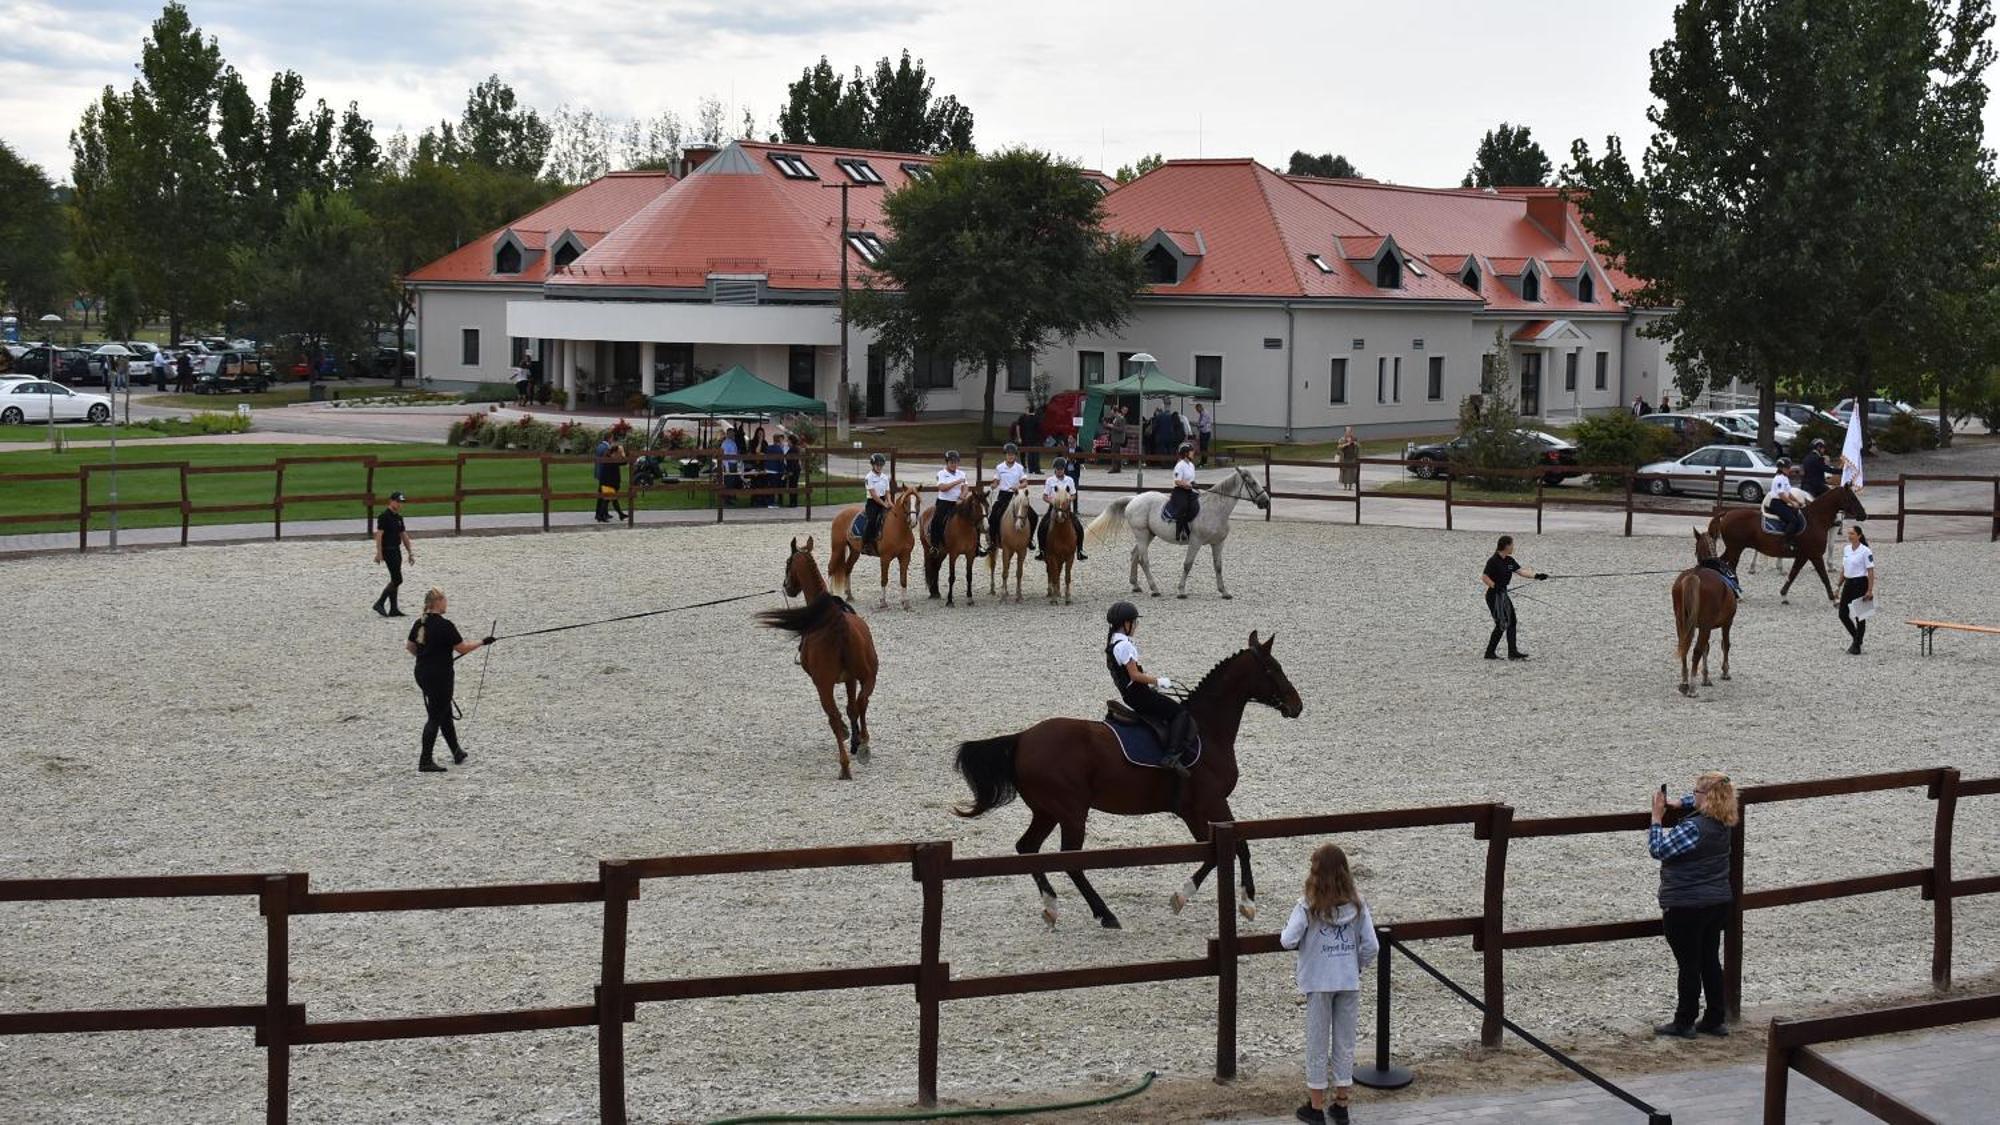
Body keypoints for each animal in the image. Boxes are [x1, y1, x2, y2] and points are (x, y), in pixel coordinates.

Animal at [756, 536, 876, 780]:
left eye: (788, 563)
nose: (787, 587)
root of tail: (839, 624)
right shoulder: (850, 679)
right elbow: (852, 707)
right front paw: (856, 740)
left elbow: (842, 713)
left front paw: (848, 734)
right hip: (867, 676)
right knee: (862, 702)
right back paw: (864, 746)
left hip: (823, 685)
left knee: (833, 716)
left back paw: (844, 765)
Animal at [956, 632, 1304, 928]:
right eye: (1273, 669)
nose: (1297, 706)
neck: (1207, 731)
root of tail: (1023, 739)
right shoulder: (1211, 802)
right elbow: (1238, 846)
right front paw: (1245, 903)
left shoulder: (1194, 810)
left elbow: (1213, 852)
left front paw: (1183, 897)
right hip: (1070, 812)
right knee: (1069, 860)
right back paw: (1105, 914)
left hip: (1047, 811)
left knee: (1027, 848)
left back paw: (1052, 906)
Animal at [1088, 462, 1272, 600]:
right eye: (1252, 483)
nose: (1266, 501)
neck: (1215, 509)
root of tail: (1134, 498)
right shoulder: (1196, 541)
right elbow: (1187, 564)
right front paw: (1181, 591)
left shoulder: (1218, 543)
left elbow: (1218, 566)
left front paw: (1224, 592)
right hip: (1141, 534)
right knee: (1144, 560)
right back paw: (1155, 589)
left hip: (1148, 535)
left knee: (1135, 555)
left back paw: (1136, 585)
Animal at [1672, 524, 1736, 692]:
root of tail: (1694, 575)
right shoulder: (1727, 622)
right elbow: (1725, 644)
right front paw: (1725, 672)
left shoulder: (1701, 626)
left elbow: (1707, 648)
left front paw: (1706, 677)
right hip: (1706, 625)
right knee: (1696, 651)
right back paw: (1692, 688)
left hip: (1681, 621)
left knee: (1684, 646)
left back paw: (1685, 682)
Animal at [1704, 484, 1872, 600]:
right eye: (1852, 498)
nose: (1864, 515)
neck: (1815, 519)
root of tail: (1727, 513)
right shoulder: (1815, 555)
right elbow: (1824, 576)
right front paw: (1833, 598)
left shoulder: (1803, 555)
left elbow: (1793, 574)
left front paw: (1783, 594)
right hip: (1735, 549)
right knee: (1728, 566)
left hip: (1732, 549)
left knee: (1720, 562)